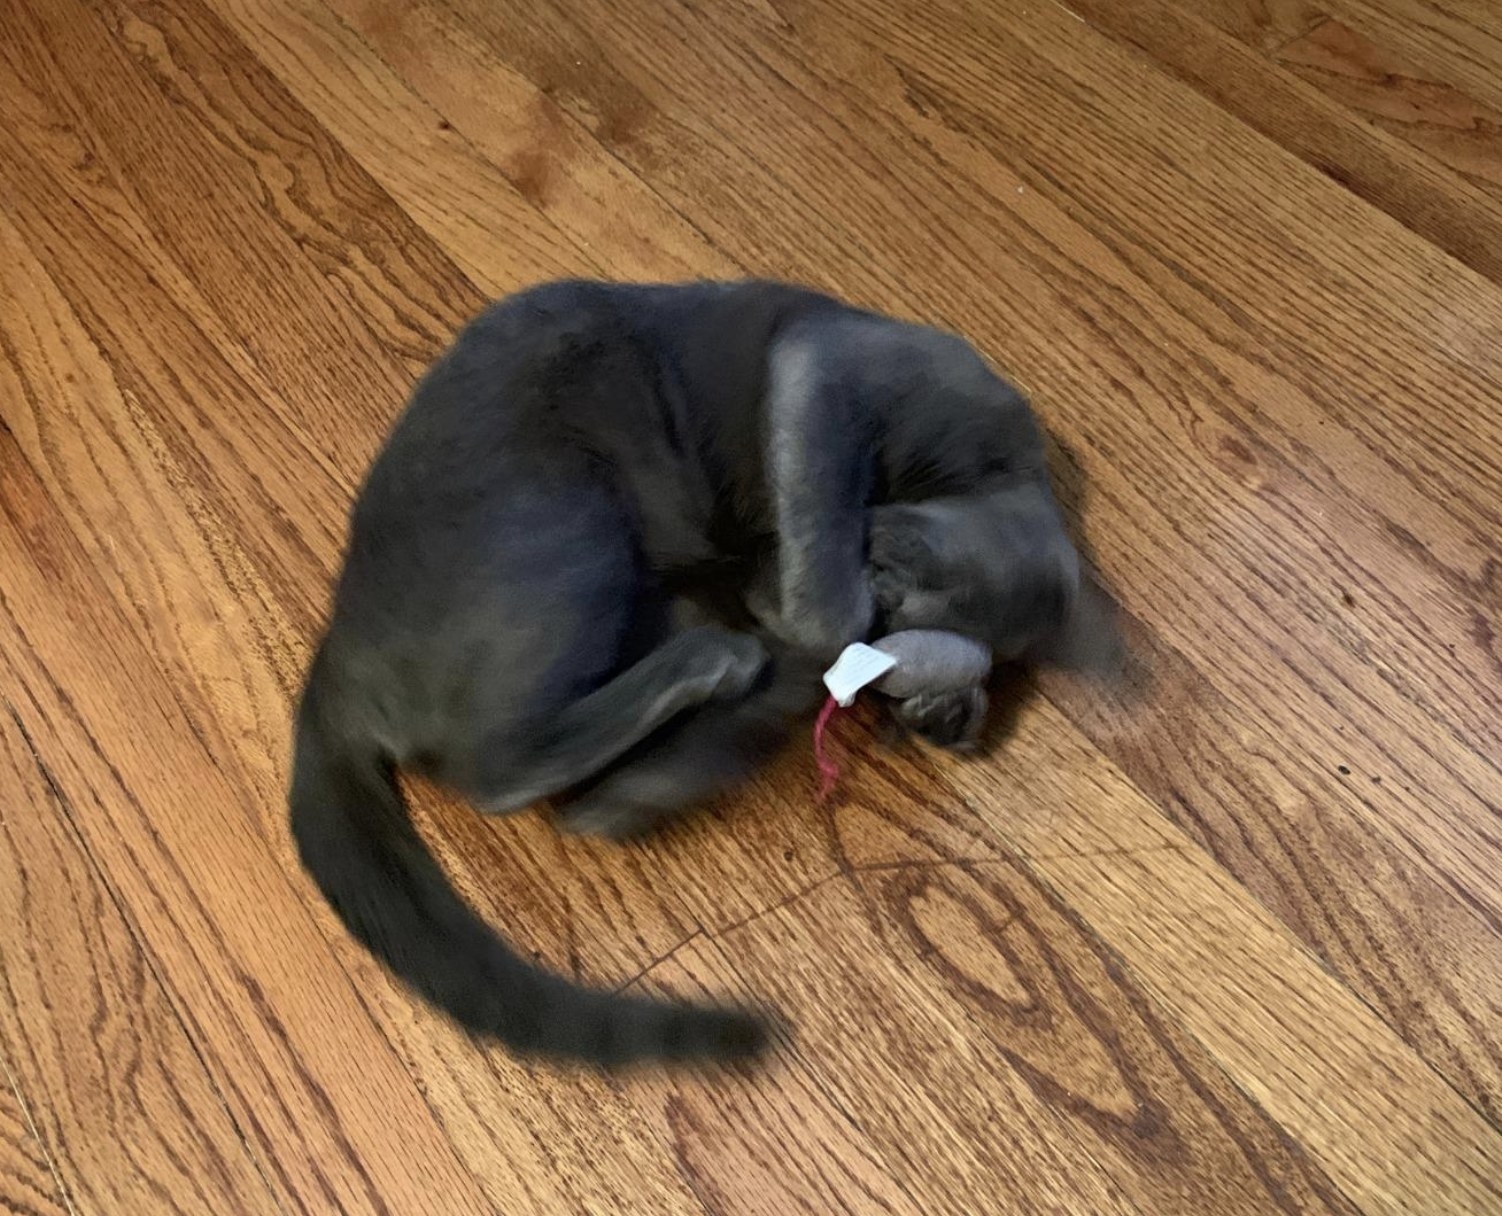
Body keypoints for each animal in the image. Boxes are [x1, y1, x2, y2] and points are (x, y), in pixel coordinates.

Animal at [286, 279, 1105, 1068]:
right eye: (900, 587)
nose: (882, 583)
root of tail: (337, 648)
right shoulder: (832, 369)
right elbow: (822, 499)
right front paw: (837, 623)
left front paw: (940, 702)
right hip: (567, 525)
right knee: (497, 765)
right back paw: (715, 665)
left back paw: (649, 772)